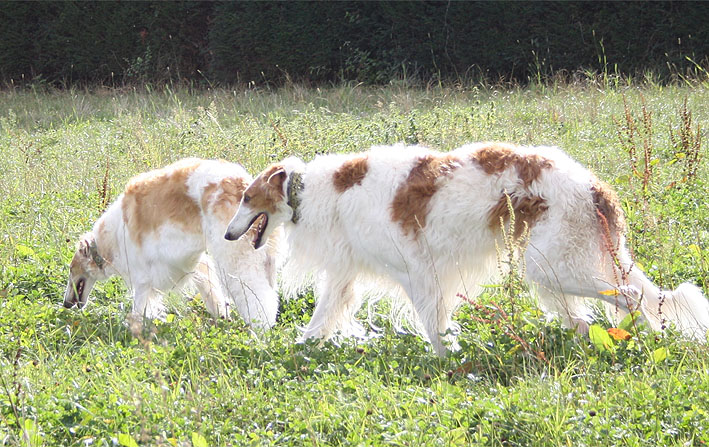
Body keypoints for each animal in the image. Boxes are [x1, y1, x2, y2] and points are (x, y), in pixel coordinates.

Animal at [64, 158, 280, 328]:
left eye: (70, 269)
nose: (65, 304)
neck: (111, 237)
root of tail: (241, 183)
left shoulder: (142, 277)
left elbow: (137, 310)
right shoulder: (194, 263)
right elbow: (211, 293)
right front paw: (221, 315)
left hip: (235, 258)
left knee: (259, 299)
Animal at [225, 142, 709, 354]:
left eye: (247, 198)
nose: (228, 235)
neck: (323, 190)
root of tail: (593, 185)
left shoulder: (418, 273)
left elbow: (434, 327)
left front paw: (444, 360)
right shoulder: (347, 274)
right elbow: (319, 321)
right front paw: (293, 350)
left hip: (555, 266)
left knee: (630, 297)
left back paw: (642, 335)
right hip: (553, 271)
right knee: (588, 317)